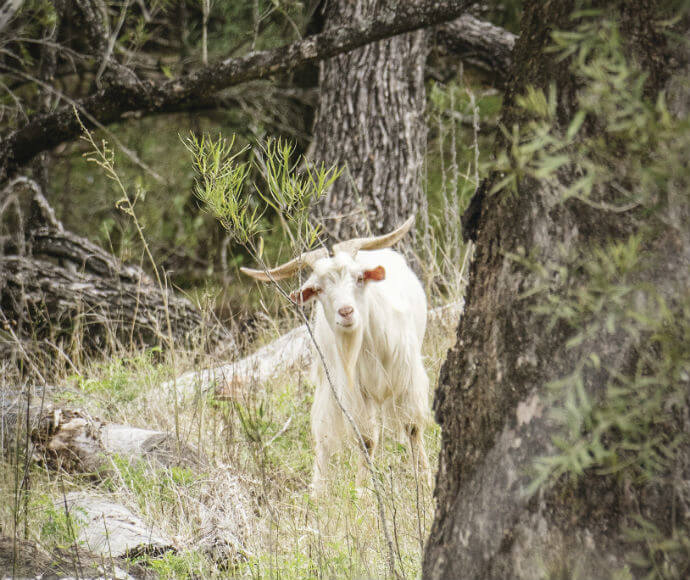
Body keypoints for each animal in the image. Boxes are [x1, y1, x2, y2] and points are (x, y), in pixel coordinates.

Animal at [239, 216, 428, 490]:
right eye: (318, 289)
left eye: (359, 278)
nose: (346, 312)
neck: (367, 341)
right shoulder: (352, 390)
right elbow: (365, 439)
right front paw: (363, 489)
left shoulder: (408, 376)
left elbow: (412, 427)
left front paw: (424, 480)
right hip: (327, 383)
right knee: (323, 435)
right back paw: (318, 490)